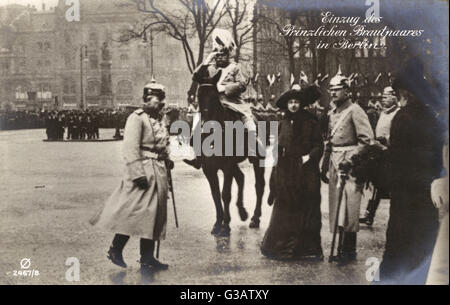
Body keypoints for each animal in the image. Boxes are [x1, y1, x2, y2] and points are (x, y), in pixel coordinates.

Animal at [195, 70, 266, 235]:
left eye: (214, 96)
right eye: (199, 95)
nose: (205, 124)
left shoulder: (227, 166)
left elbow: (225, 194)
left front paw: (225, 225)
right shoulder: (209, 169)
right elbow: (215, 195)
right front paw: (217, 223)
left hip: (257, 160)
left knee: (259, 186)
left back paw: (255, 218)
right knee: (241, 177)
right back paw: (242, 212)